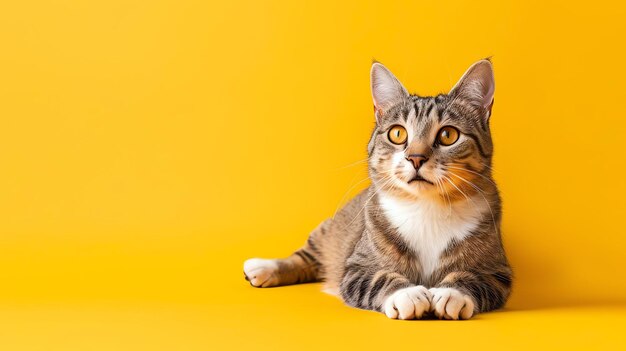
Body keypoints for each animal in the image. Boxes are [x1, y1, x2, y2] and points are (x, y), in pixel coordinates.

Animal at [241, 59, 510, 320]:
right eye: (397, 133)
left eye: (448, 135)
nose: (416, 158)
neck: (426, 208)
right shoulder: (355, 266)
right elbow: (378, 278)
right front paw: (407, 294)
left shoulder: (497, 270)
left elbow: (475, 278)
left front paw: (451, 293)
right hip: (330, 230)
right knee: (306, 257)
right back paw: (264, 267)